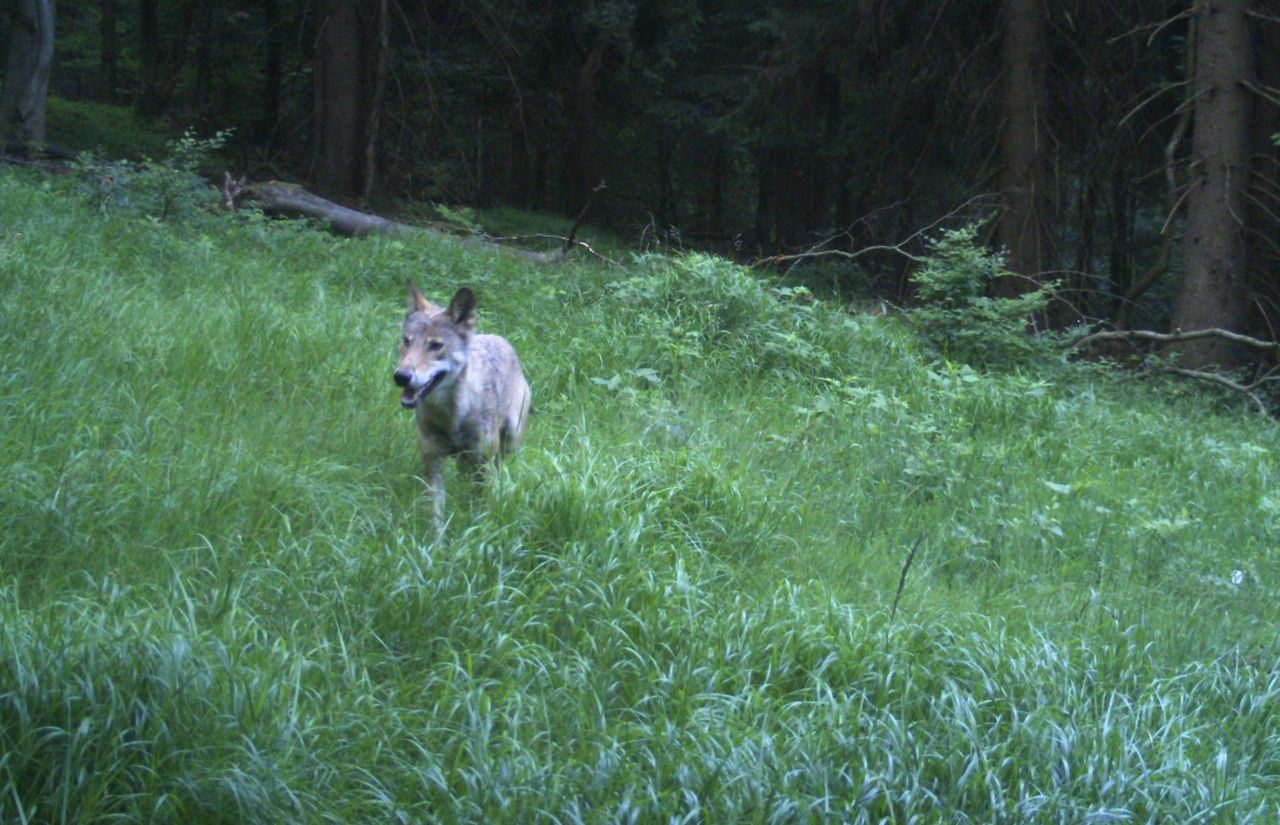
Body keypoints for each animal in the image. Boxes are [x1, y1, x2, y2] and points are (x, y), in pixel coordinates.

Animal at [389, 280, 529, 524]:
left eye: (436, 345)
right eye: (407, 341)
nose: (401, 376)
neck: (451, 417)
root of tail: (499, 338)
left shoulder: (484, 463)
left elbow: (482, 513)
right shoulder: (432, 462)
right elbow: (436, 516)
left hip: (507, 442)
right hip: (465, 461)